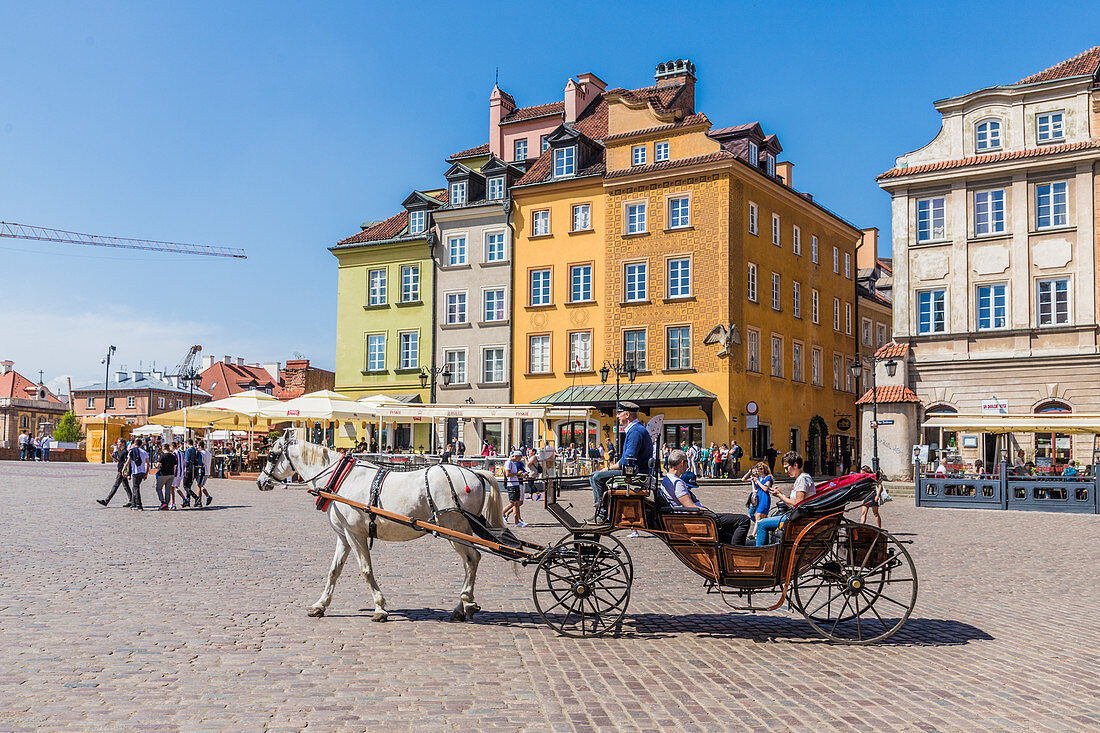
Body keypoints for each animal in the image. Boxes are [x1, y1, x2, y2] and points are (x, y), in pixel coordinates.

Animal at [257, 429, 506, 620]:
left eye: (271, 455)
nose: (260, 482)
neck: (340, 479)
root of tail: (474, 473)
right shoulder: (344, 536)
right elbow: (334, 571)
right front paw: (320, 604)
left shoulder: (356, 534)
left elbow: (366, 570)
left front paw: (379, 607)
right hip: (461, 532)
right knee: (469, 562)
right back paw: (462, 606)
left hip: (455, 529)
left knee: (472, 559)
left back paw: (466, 603)